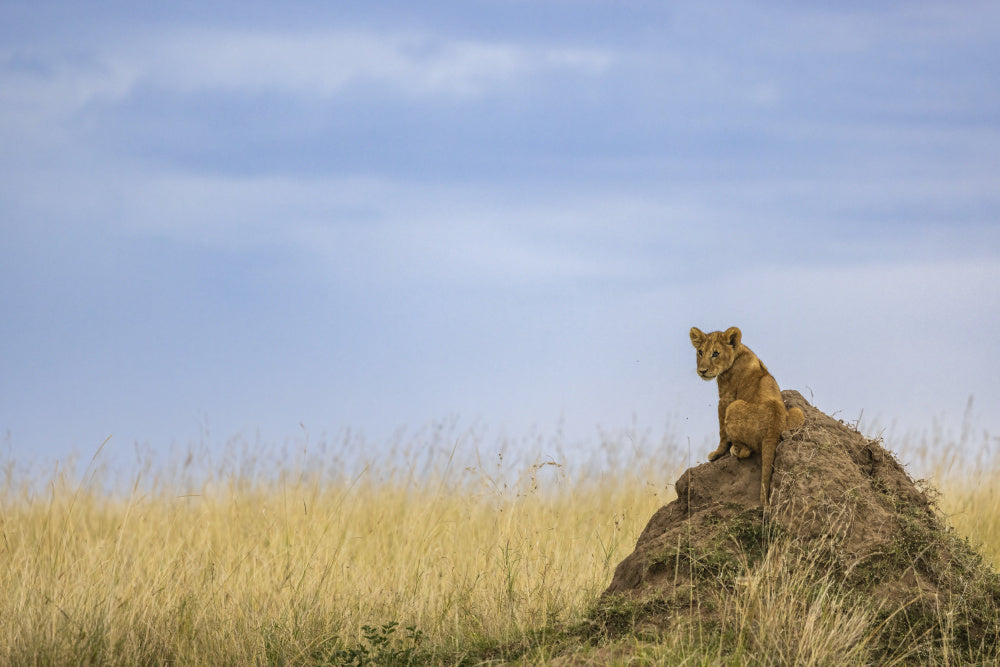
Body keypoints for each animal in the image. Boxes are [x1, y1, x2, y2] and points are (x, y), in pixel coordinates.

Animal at [689, 326, 804, 507]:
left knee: (746, 451)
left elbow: (722, 431)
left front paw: (716, 454)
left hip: (734, 406)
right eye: (700, 352)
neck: (739, 352)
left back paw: (734, 450)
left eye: (715, 353)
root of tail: (774, 426)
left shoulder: (726, 399)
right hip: (797, 412)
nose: (702, 371)